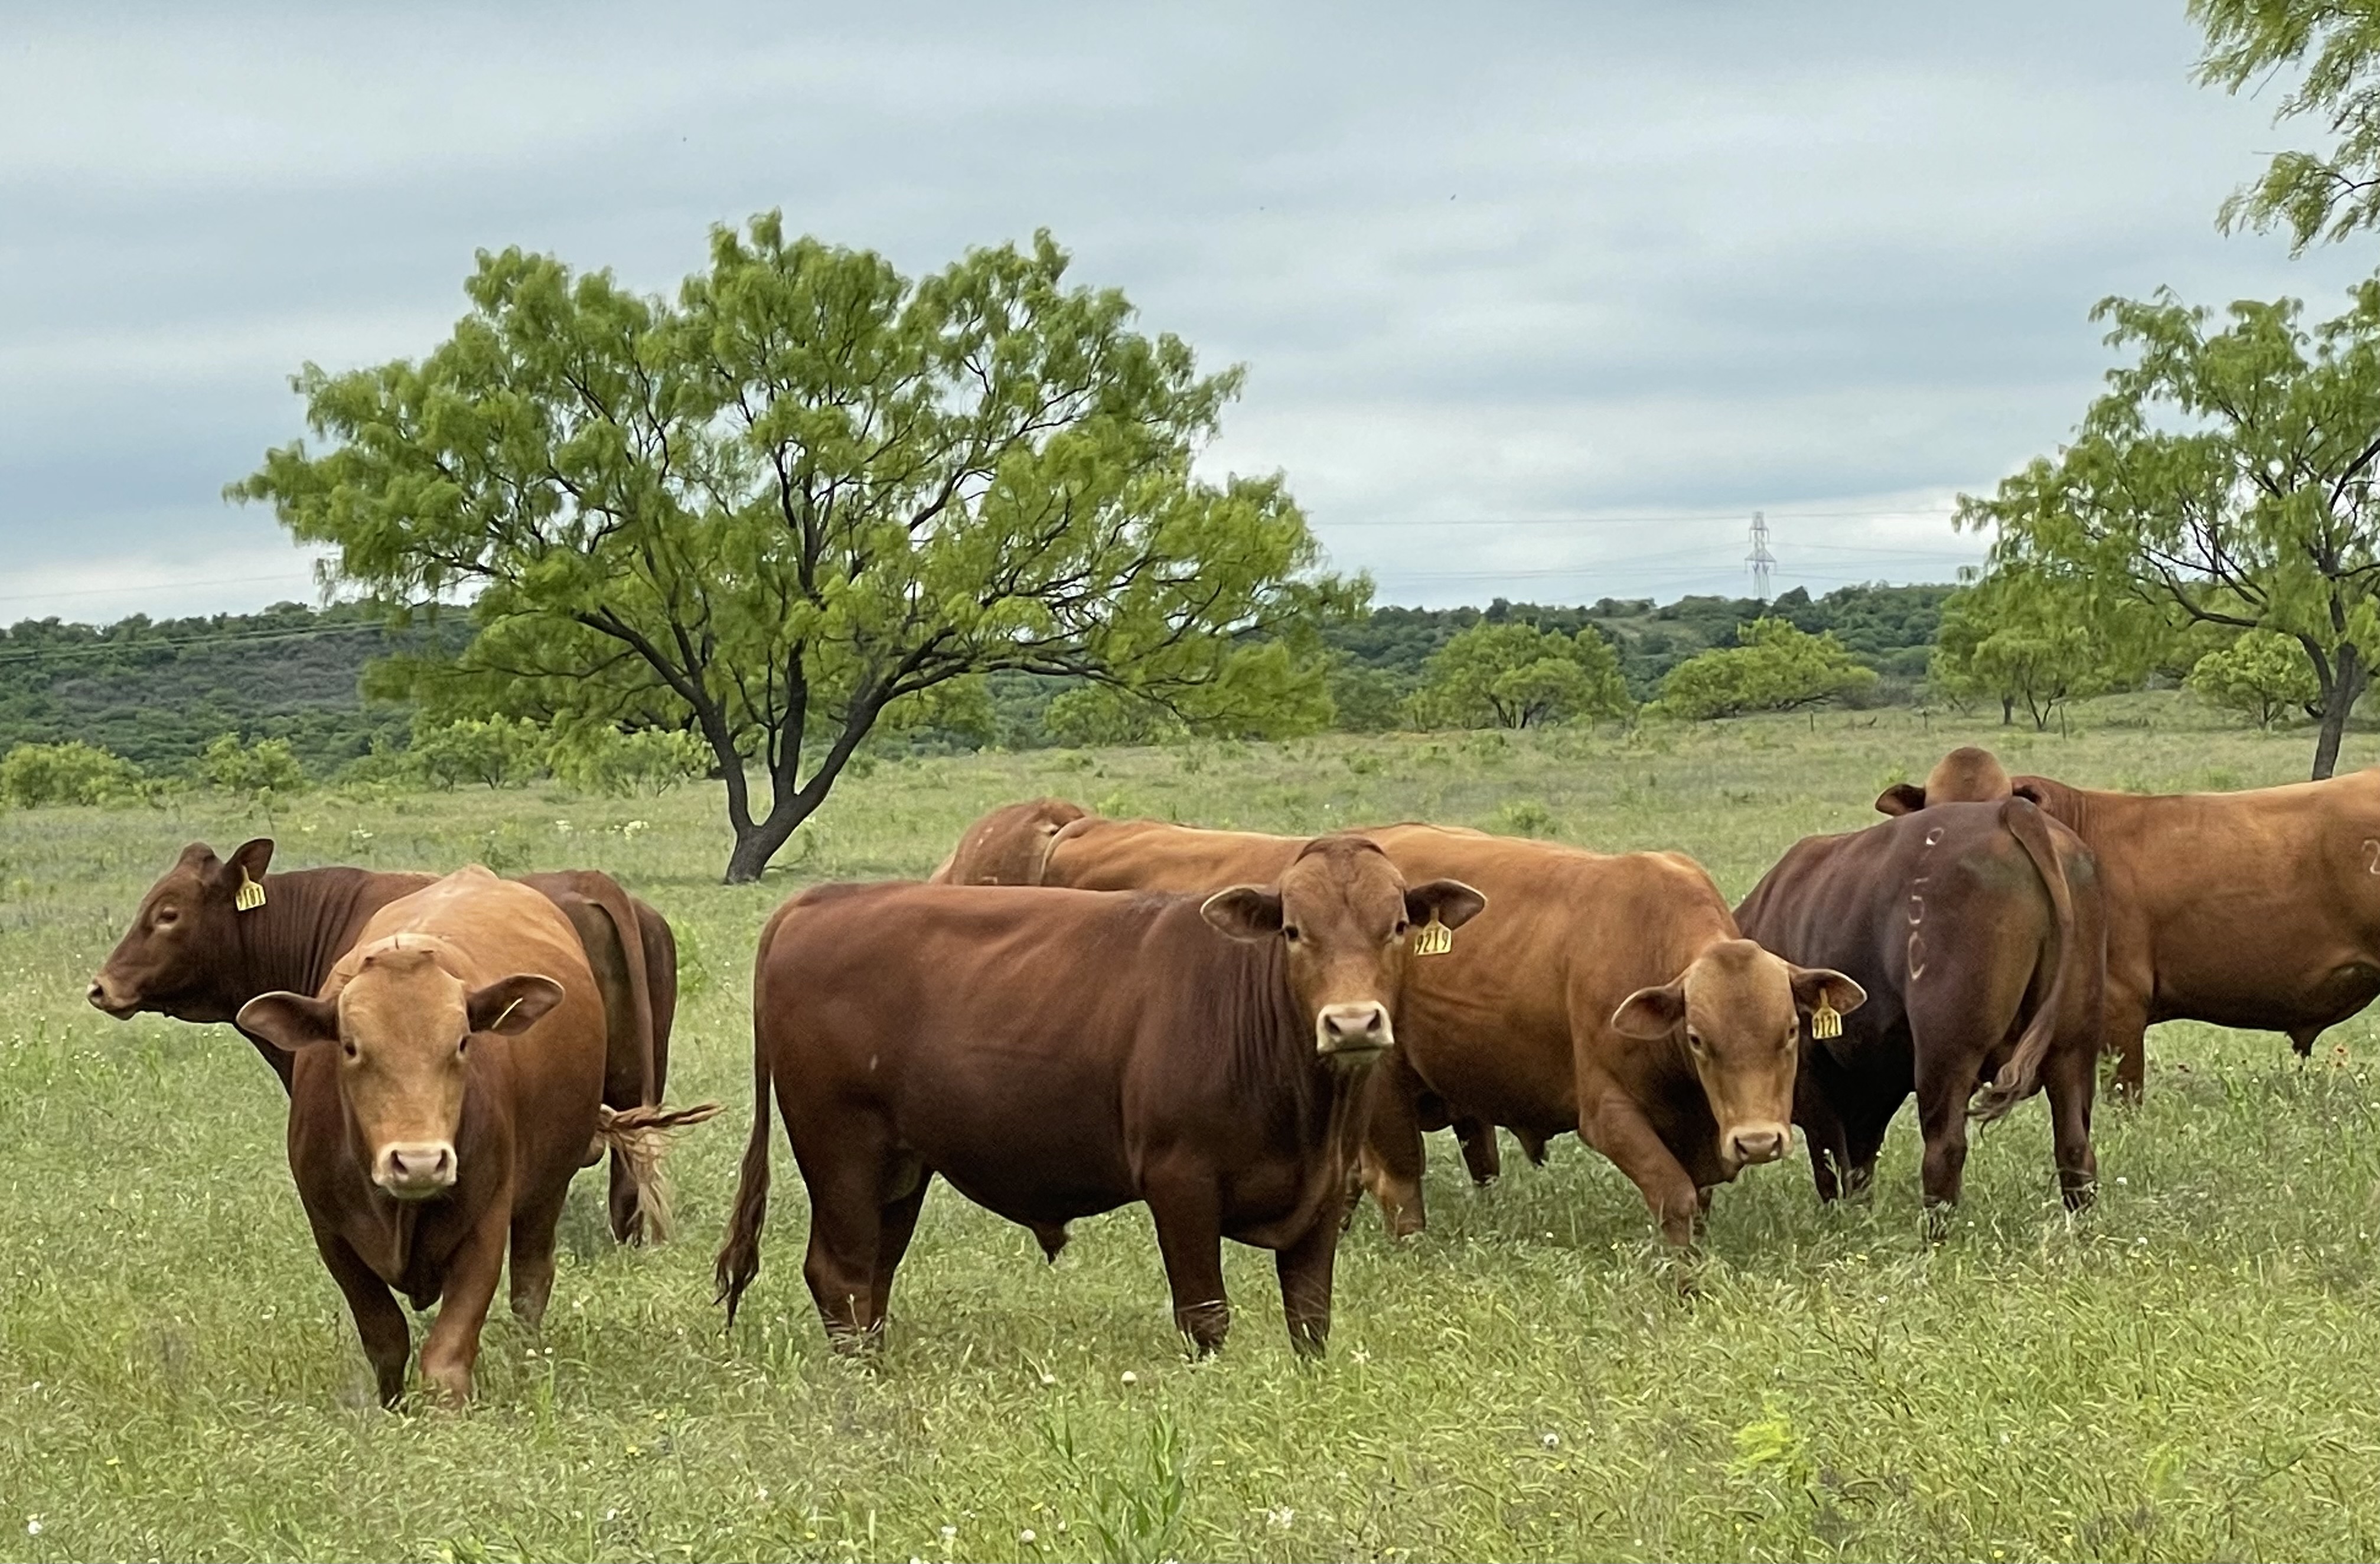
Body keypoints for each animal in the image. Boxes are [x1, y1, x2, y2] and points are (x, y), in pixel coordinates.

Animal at [233, 866, 719, 1399]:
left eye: (463, 1041)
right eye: (350, 1045)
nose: (420, 1162)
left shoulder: (487, 1220)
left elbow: (448, 1352)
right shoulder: (330, 1231)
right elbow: (385, 1337)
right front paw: (392, 1403)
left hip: (545, 1191)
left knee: (532, 1282)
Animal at [714, 828, 1475, 1352]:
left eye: (1397, 927)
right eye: (1292, 930)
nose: (1351, 1023)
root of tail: (819, 900)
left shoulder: (1323, 1195)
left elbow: (1310, 1322)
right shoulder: (1180, 1182)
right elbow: (1205, 1315)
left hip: (900, 1167)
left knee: (873, 1275)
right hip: (841, 1150)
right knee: (839, 1275)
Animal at [1732, 795, 2104, 1219]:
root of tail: (2011, 809)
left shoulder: (1812, 1074)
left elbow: (1830, 1164)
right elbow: (1859, 1163)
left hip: (1946, 1051)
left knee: (1945, 1149)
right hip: (2072, 1048)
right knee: (2075, 1149)